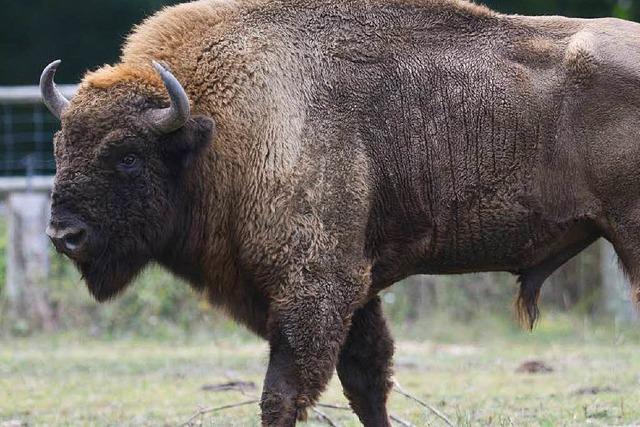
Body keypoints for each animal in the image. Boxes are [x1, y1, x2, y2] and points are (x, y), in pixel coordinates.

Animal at [42, 0, 636, 426]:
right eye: (60, 145)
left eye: (127, 156)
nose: (63, 235)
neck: (214, 126)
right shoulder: (357, 287)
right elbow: (366, 380)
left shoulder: (316, 285)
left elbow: (283, 393)